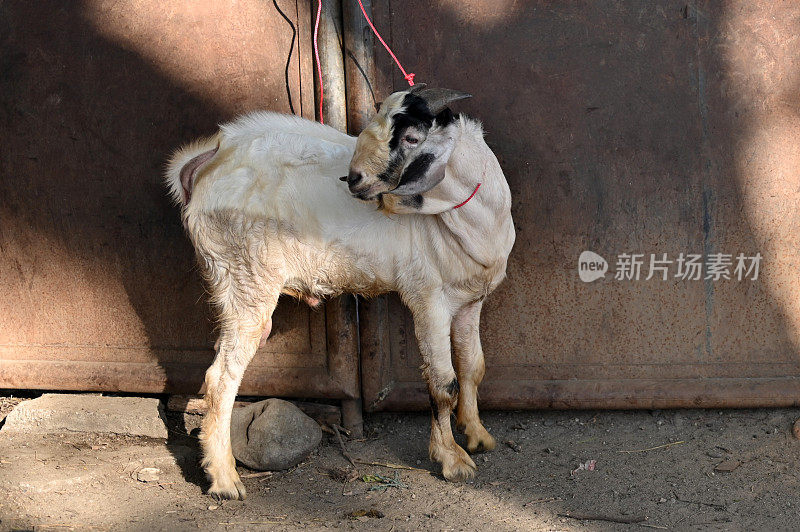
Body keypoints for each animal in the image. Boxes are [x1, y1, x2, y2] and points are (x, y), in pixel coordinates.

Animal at [166, 85, 516, 500]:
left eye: (411, 138)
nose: (353, 179)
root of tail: (207, 159)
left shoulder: (469, 300)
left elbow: (473, 367)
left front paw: (477, 435)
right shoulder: (428, 297)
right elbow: (443, 382)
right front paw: (452, 459)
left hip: (233, 283)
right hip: (245, 274)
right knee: (220, 378)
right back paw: (224, 479)